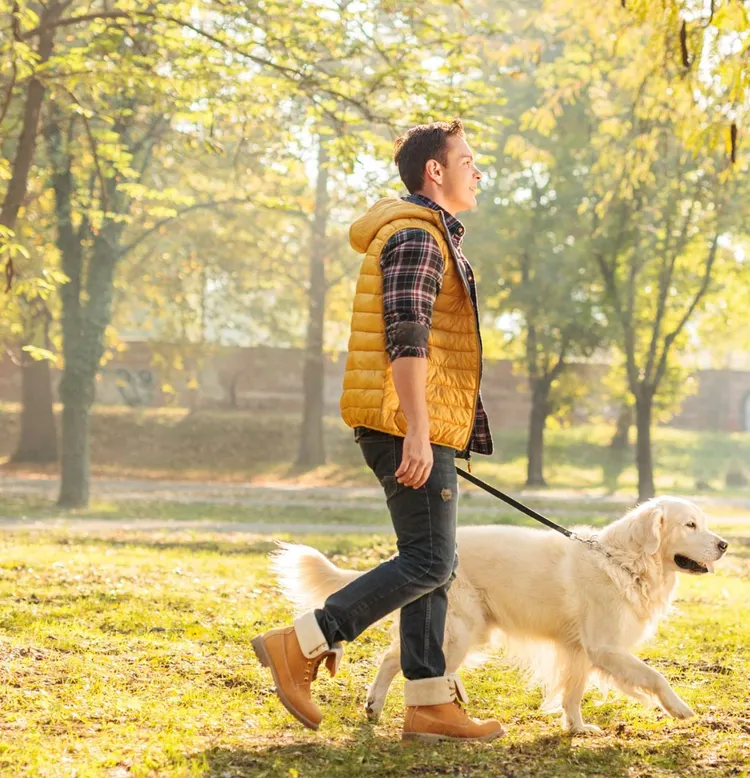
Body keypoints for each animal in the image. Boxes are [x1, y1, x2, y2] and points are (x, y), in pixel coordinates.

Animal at [274, 494, 732, 732]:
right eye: (690, 525)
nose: (725, 544)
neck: (624, 561)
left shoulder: (580, 651)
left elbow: (573, 693)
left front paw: (577, 728)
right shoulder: (604, 647)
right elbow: (654, 676)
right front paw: (679, 707)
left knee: (402, 660)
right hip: (462, 630)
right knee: (402, 663)